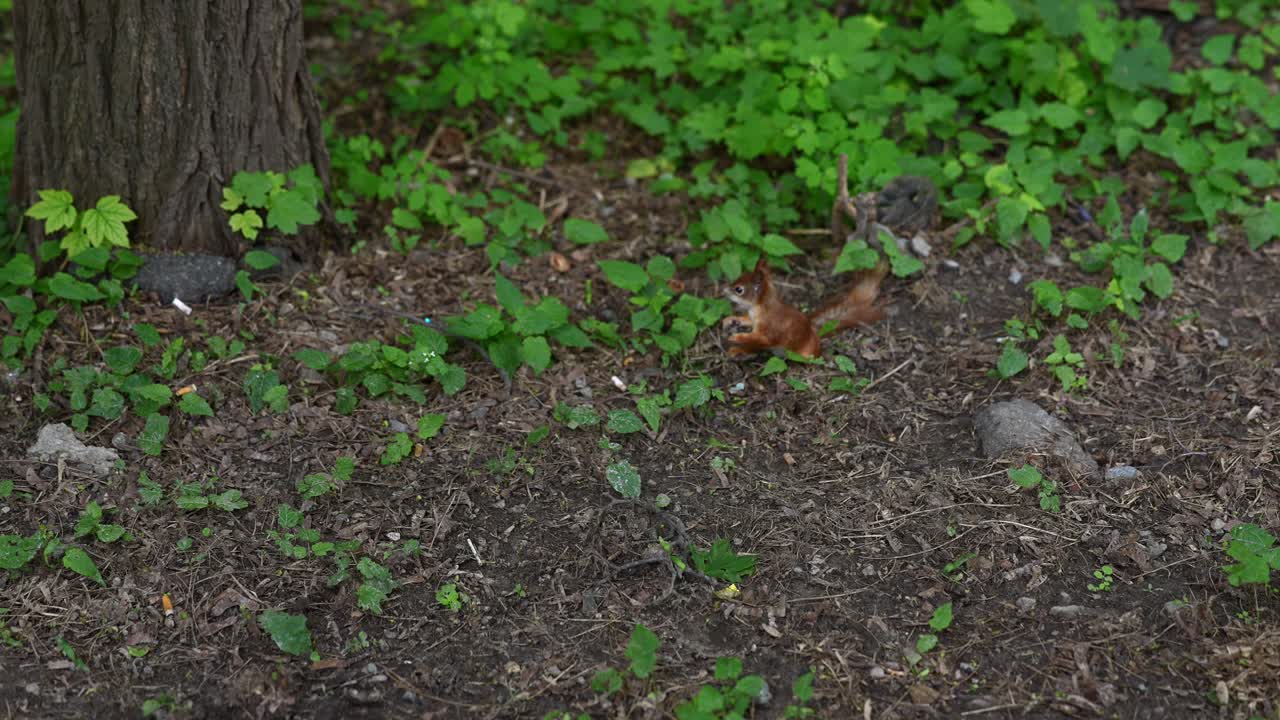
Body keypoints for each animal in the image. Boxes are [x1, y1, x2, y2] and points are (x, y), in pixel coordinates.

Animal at [721, 258, 888, 358]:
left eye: (739, 289)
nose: (724, 290)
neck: (759, 307)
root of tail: (811, 329)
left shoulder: (770, 328)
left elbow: (760, 337)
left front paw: (737, 337)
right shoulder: (753, 319)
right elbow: (747, 320)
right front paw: (731, 320)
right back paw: (737, 350)